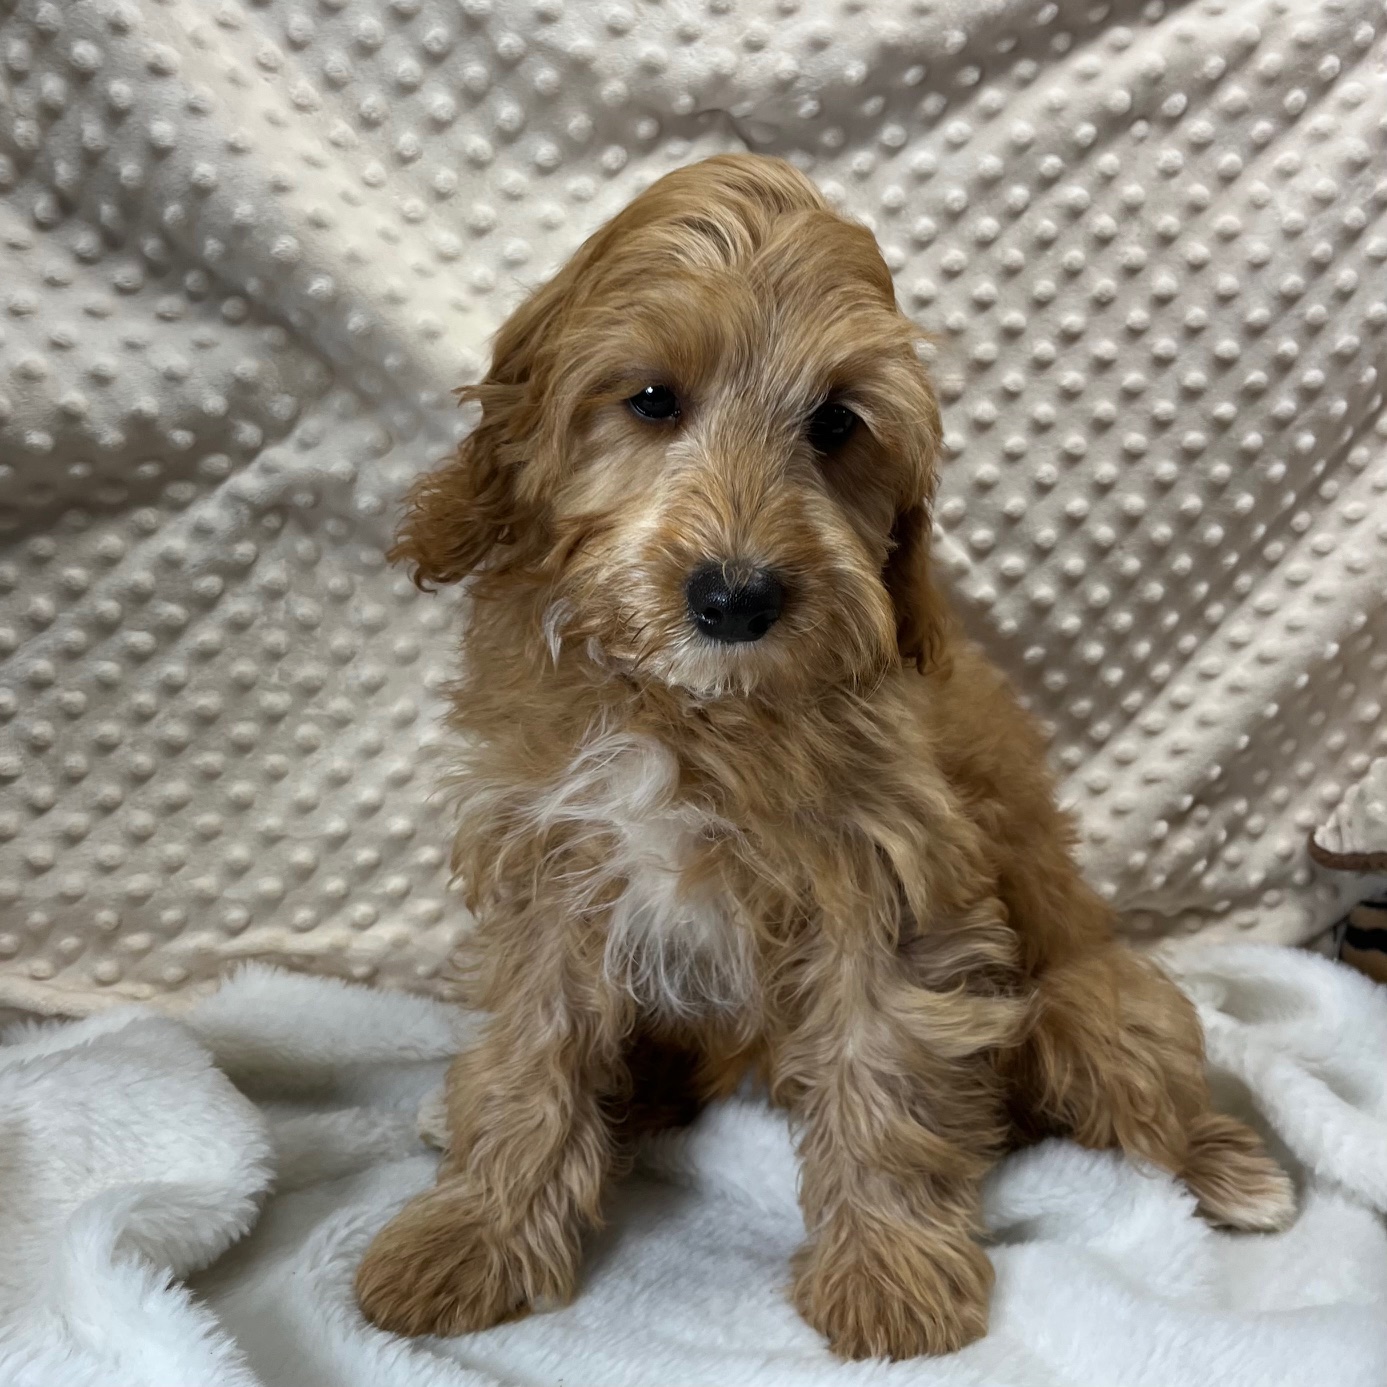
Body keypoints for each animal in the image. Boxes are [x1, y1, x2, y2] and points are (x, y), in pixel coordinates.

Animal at [355, 157, 1287, 1359]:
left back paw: (1230, 1171)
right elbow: (529, 1052)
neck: (694, 713)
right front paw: (475, 1233)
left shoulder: (886, 881)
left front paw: (888, 1271)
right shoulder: (554, 868)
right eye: (651, 399)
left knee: (1144, 1088)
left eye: (837, 422)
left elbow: (881, 1066)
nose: (735, 597)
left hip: (1095, 1001)